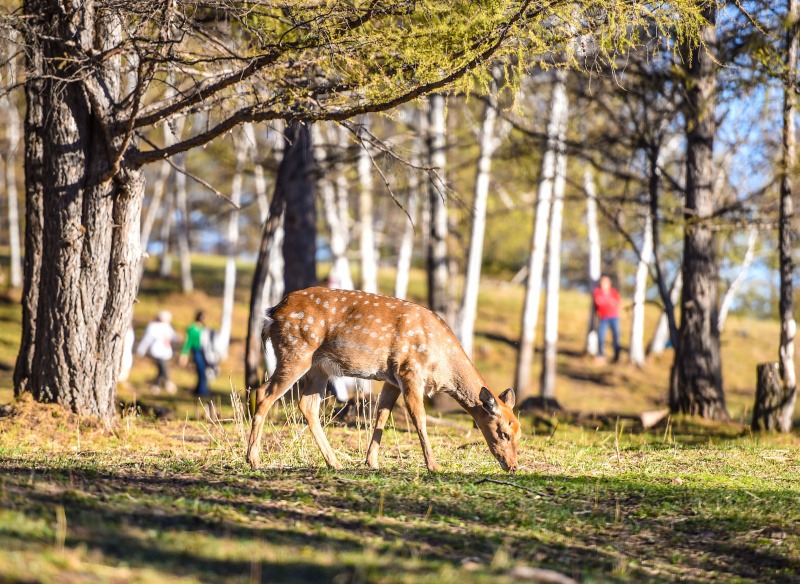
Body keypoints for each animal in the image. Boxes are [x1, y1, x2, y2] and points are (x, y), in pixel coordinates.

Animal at [246, 287, 521, 472]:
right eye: (504, 433)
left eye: (519, 432)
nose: (513, 466)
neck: (440, 364)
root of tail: (271, 314)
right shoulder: (410, 369)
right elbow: (419, 418)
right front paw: (434, 466)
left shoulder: (391, 379)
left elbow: (382, 415)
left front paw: (372, 462)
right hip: (296, 351)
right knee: (264, 393)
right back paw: (254, 460)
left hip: (318, 367)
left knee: (307, 405)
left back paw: (334, 462)